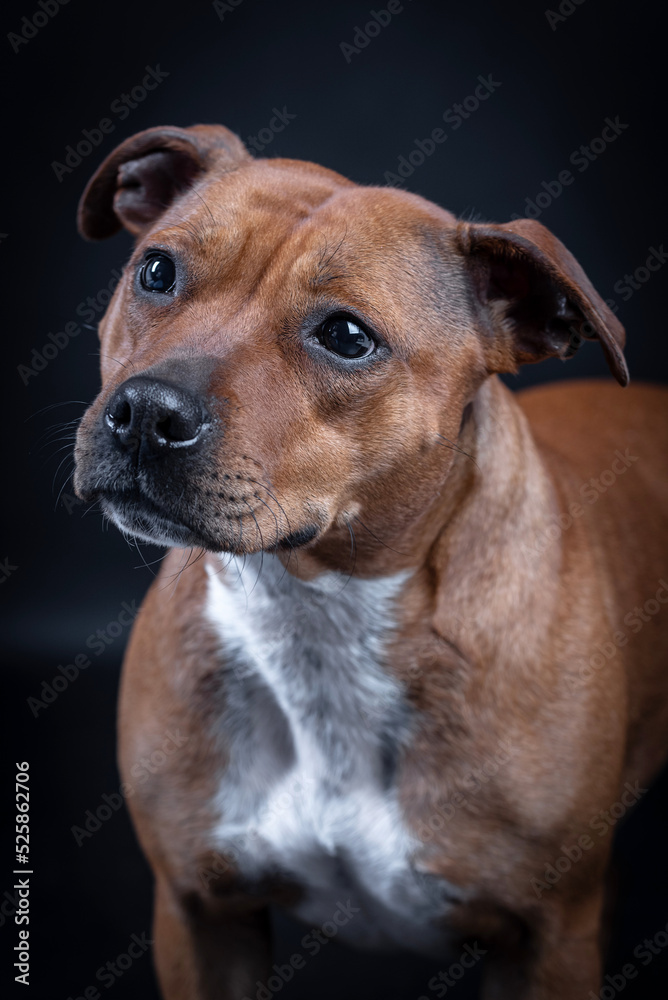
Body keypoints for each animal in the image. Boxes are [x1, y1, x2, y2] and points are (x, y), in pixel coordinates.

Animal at [72, 121, 668, 996]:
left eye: (347, 338)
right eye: (157, 272)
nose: (147, 412)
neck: (318, 618)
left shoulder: (548, 940)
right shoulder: (200, 916)